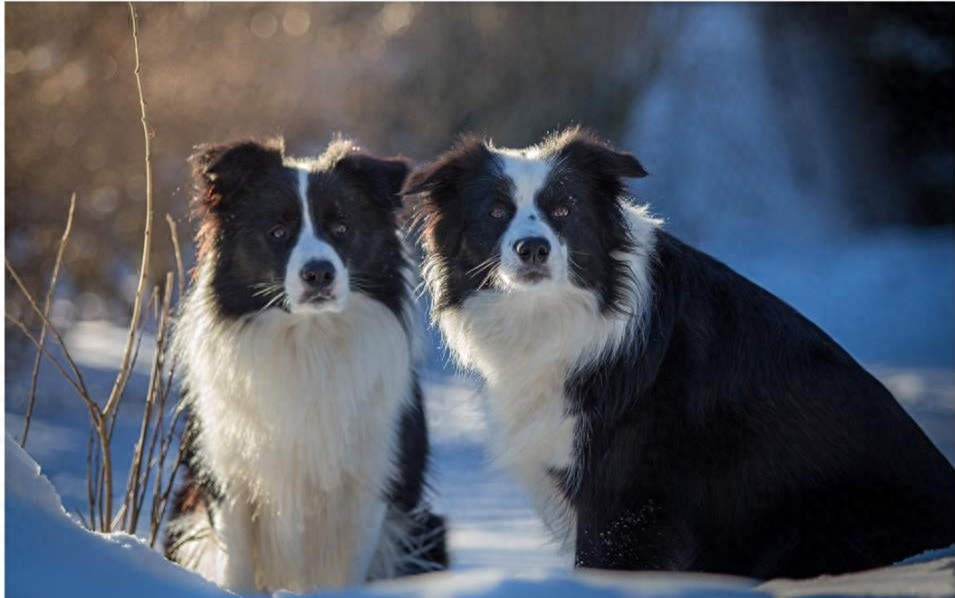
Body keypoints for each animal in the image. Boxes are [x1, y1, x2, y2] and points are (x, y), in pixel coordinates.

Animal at [165, 138, 448, 592]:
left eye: (341, 228)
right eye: (278, 233)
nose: (319, 274)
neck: (308, 340)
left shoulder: (371, 482)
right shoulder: (229, 479)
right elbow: (236, 570)